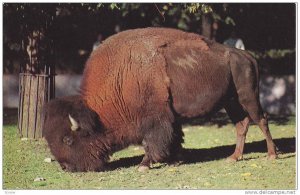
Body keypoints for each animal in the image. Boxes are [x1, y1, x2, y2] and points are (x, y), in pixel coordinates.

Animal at [42, 27, 276, 172]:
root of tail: (246, 55)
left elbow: (152, 143)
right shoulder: (170, 118)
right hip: (231, 103)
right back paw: (234, 157)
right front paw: (176, 160)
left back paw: (272, 155)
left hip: (248, 98)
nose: (65, 167)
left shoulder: (155, 119)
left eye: (68, 139)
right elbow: (174, 138)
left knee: (261, 120)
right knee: (242, 124)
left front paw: (144, 165)